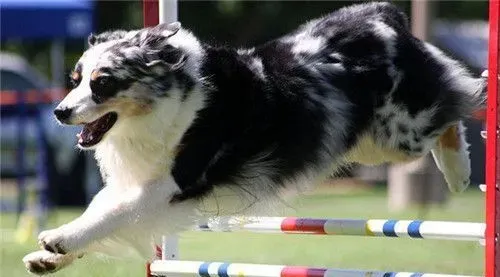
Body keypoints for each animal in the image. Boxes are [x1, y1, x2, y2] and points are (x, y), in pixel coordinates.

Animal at [22, 2, 484, 274]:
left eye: (103, 83)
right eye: (75, 80)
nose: (59, 112)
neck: (171, 99)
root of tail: (383, 14)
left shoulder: (178, 179)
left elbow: (114, 212)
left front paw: (60, 238)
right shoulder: (143, 177)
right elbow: (105, 207)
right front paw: (50, 257)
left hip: (401, 132)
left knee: (457, 99)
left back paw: (460, 170)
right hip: (368, 141)